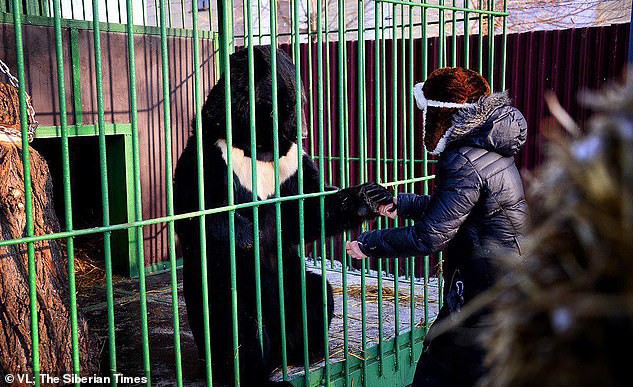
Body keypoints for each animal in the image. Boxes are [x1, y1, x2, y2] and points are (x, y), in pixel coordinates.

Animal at [173, 47, 390, 386]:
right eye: (284, 103)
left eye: (302, 100)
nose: (304, 133)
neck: (259, 147)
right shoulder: (213, 153)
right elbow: (196, 209)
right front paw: (248, 237)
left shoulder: (291, 164)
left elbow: (311, 206)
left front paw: (372, 195)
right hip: (227, 295)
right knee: (239, 329)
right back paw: (255, 372)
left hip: (291, 280)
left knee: (315, 294)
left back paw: (306, 352)